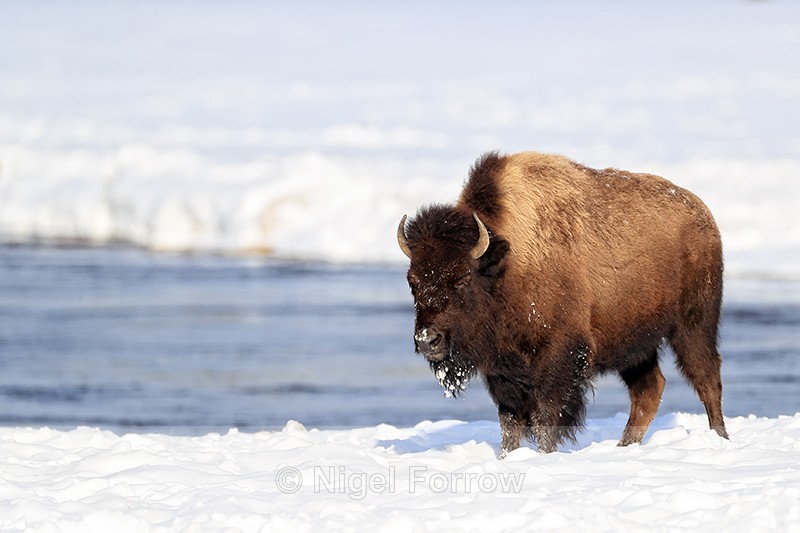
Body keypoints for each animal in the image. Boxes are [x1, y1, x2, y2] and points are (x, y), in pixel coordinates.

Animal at [397, 151, 729, 457]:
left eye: (463, 277)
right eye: (412, 281)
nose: (428, 340)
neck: (505, 264)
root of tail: (703, 215)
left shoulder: (559, 355)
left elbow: (546, 416)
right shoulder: (502, 370)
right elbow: (510, 423)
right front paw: (508, 457)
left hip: (693, 325)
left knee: (706, 378)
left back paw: (720, 438)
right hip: (636, 344)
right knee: (649, 389)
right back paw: (624, 447)